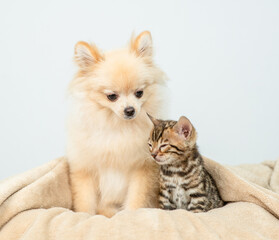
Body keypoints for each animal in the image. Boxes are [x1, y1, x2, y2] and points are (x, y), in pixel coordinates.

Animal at [67, 31, 168, 217]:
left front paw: (130, 216)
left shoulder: (142, 169)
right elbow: (85, 201)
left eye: (139, 93)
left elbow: (137, 199)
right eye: (112, 96)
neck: (117, 126)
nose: (130, 110)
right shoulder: (84, 170)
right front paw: (85, 216)